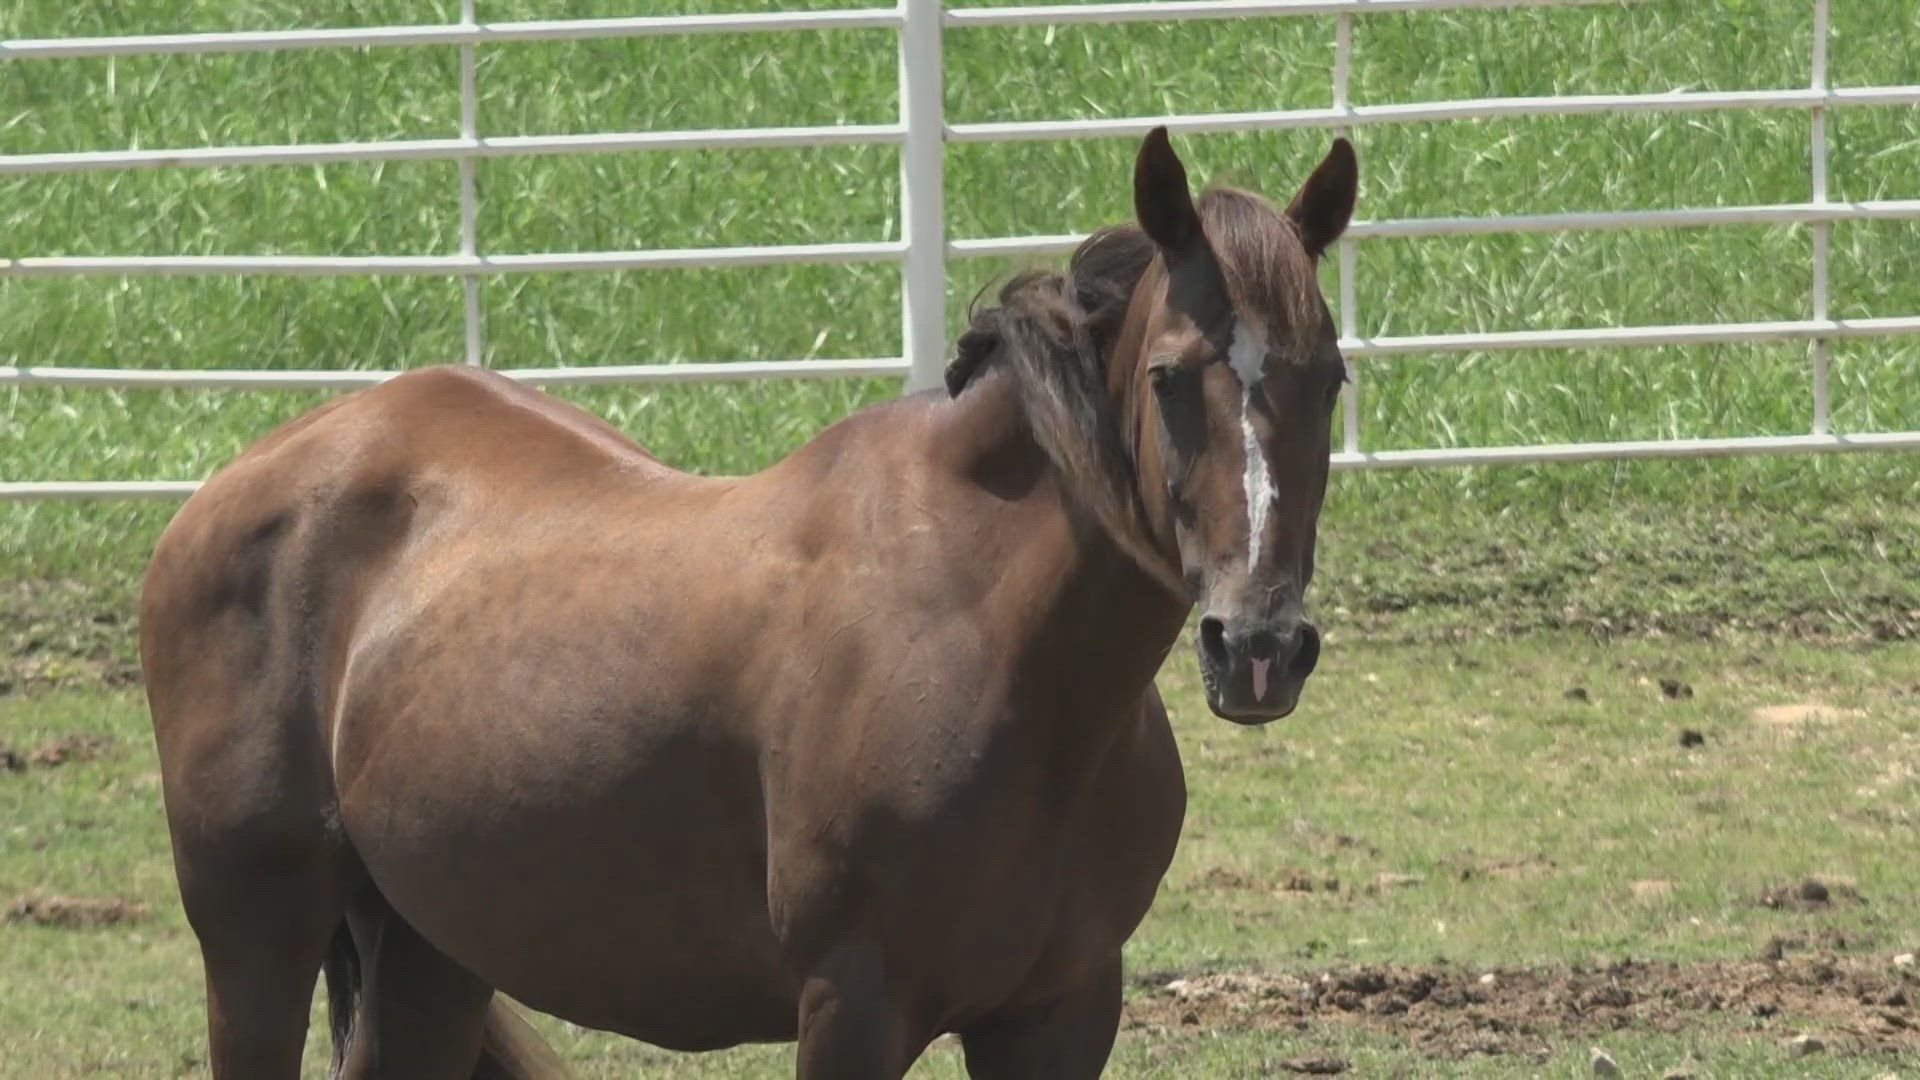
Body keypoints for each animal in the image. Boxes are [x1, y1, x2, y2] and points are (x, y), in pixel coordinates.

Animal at [142, 127, 1359, 1076]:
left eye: (1332, 376)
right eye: (1167, 376)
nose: (1258, 646)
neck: (1000, 650)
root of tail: (240, 485)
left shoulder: (1060, 1014)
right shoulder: (853, 1007)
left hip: (432, 949)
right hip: (255, 935)